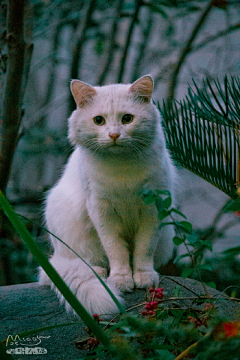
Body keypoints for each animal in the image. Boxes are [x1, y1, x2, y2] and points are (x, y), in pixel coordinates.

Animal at [39, 75, 176, 316]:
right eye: (99, 121)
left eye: (127, 119)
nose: (114, 135)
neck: (121, 166)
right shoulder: (103, 214)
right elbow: (117, 251)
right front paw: (121, 279)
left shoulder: (152, 212)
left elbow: (144, 249)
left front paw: (143, 276)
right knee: (88, 262)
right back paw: (100, 272)